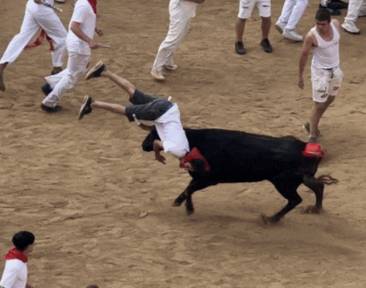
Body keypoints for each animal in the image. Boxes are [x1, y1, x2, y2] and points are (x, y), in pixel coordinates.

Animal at [142, 127, 334, 224]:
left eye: (153, 134)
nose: (143, 145)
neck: (193, 141)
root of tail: (306, 149)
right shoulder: (201, 178)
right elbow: (188, 189)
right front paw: (184, 205)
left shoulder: (208, 179)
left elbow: (189, 189)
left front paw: (186, 207)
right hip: (297, 180)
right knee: (318, 186)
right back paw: (316, 208)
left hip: (283, 183)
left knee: (295, 199)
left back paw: (271, 219)